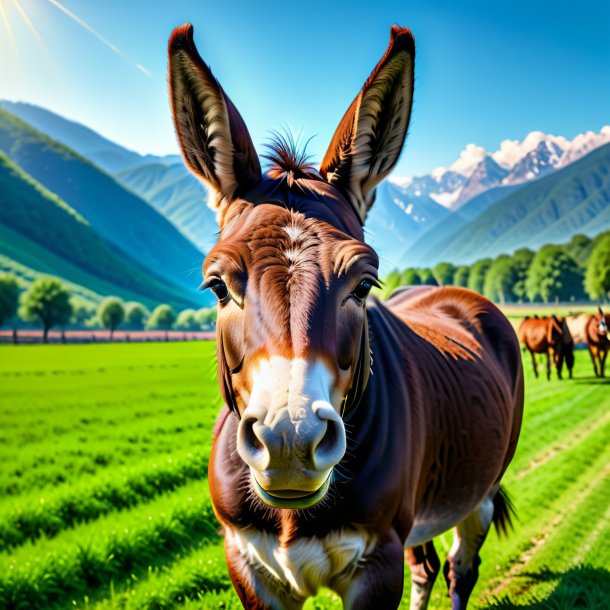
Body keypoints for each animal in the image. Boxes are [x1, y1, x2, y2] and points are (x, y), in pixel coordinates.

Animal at [166, 23, 524, 608]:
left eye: (364, 284)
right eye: (217, 286)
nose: (290, 441)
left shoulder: (377, 562)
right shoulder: (248, 564)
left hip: (481, 492)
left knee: (459, 569)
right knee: (428, 566)